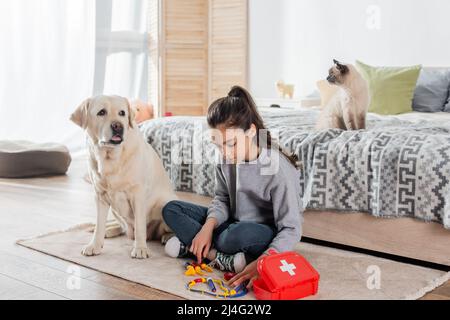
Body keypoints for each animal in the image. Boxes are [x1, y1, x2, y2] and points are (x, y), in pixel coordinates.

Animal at [70, 94, 176, 258]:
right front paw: (94, 245)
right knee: (122, 227)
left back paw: (166, 237)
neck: (111, 158)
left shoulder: (138, 195)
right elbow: (99, 225)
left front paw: (140, 249)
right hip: (115, 210)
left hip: (166, 203)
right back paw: (109, 230)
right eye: (102, 112)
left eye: (122, 113)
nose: (118, 126)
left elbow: (140, 226)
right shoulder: (100, 196)